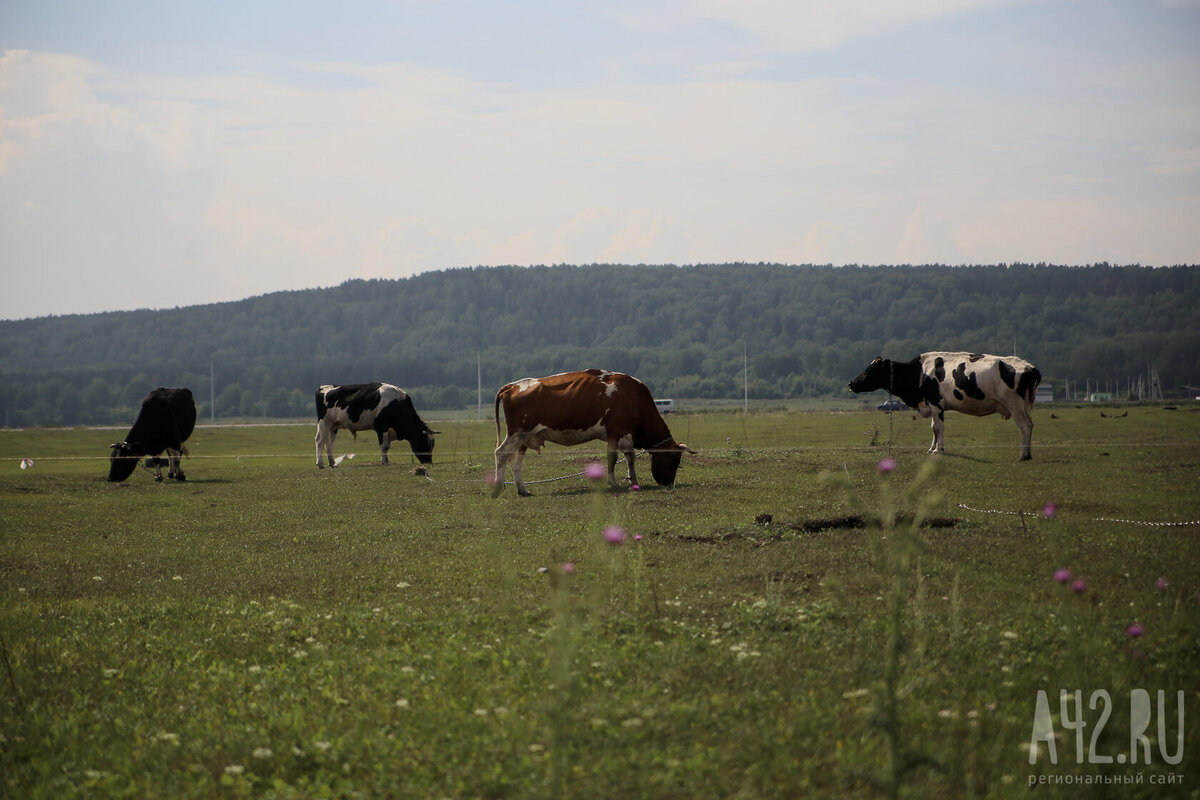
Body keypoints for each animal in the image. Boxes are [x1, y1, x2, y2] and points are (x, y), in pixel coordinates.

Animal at [489, 369, 696, 494]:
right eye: (674, 461)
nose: (668, 484)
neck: (634, 398)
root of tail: (513, 385)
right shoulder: (614, 432)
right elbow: (612, 458)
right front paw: (613, 483)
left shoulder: (626, 435)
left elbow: (630, 458)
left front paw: (633, 480)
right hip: (518, 433)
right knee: (501, 453)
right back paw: (498, 486)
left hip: (525, 437)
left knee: (515, 462)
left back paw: (523, 490)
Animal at [844, 352, 1041, 460]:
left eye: (869, 370)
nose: (851, 383)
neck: (919, 373)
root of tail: (1029, 366)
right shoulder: (932, 405)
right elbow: (933, 427)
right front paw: (932, 448)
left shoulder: (935, 403)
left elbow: (938, 427)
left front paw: (938, 449)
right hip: (1024, 405)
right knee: (1031, 424)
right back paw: (1029, 453)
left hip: (1014, 403)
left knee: (1024, 426)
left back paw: (1023, 455)